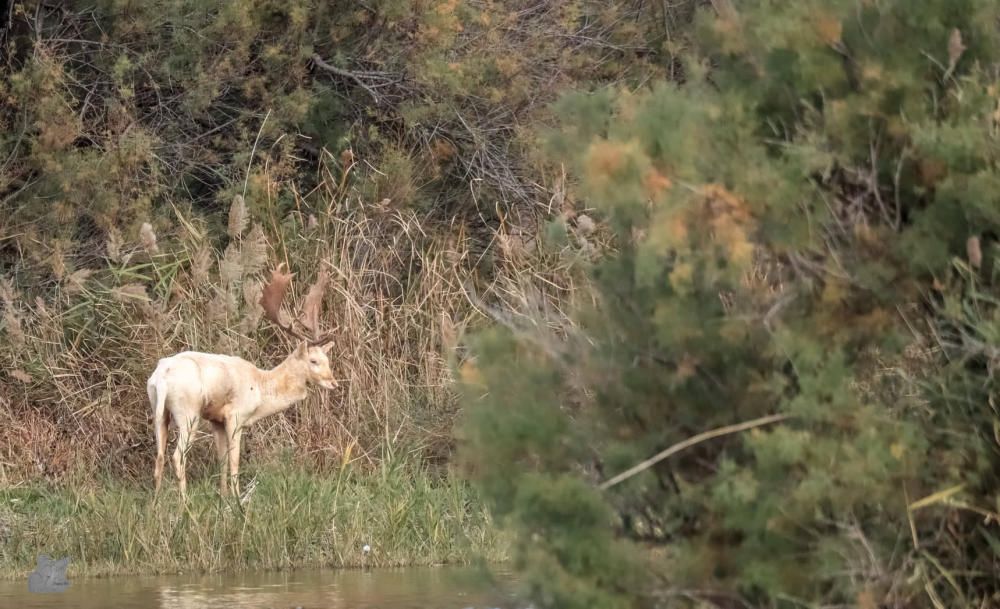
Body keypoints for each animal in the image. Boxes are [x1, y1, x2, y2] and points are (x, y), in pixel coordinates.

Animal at [146, 264, 338, 498]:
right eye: (313, 361)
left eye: (328, 360)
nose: (333, 382)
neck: (261, 389)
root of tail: (161, 377)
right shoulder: (235, 415)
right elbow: (234, 461)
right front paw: (237, 499)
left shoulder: (217, 420)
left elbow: (221, 460)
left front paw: (223, 496)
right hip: (188, 412)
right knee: (177, 456)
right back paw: (185, 502)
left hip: (158, 410)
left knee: (159, 457)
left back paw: (156, 503)